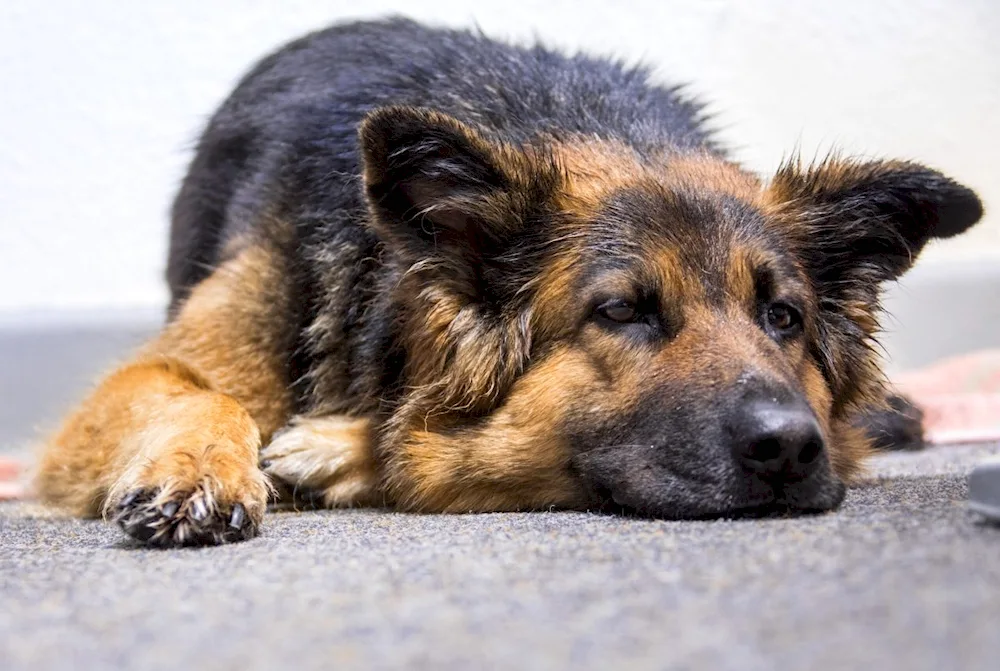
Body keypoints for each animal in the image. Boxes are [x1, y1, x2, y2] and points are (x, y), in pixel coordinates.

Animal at [35, 18, 980, 548]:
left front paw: (332, 450)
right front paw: (200, 468)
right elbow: (200, 392)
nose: (789, 446)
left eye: (782, 316)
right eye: (623, 311)